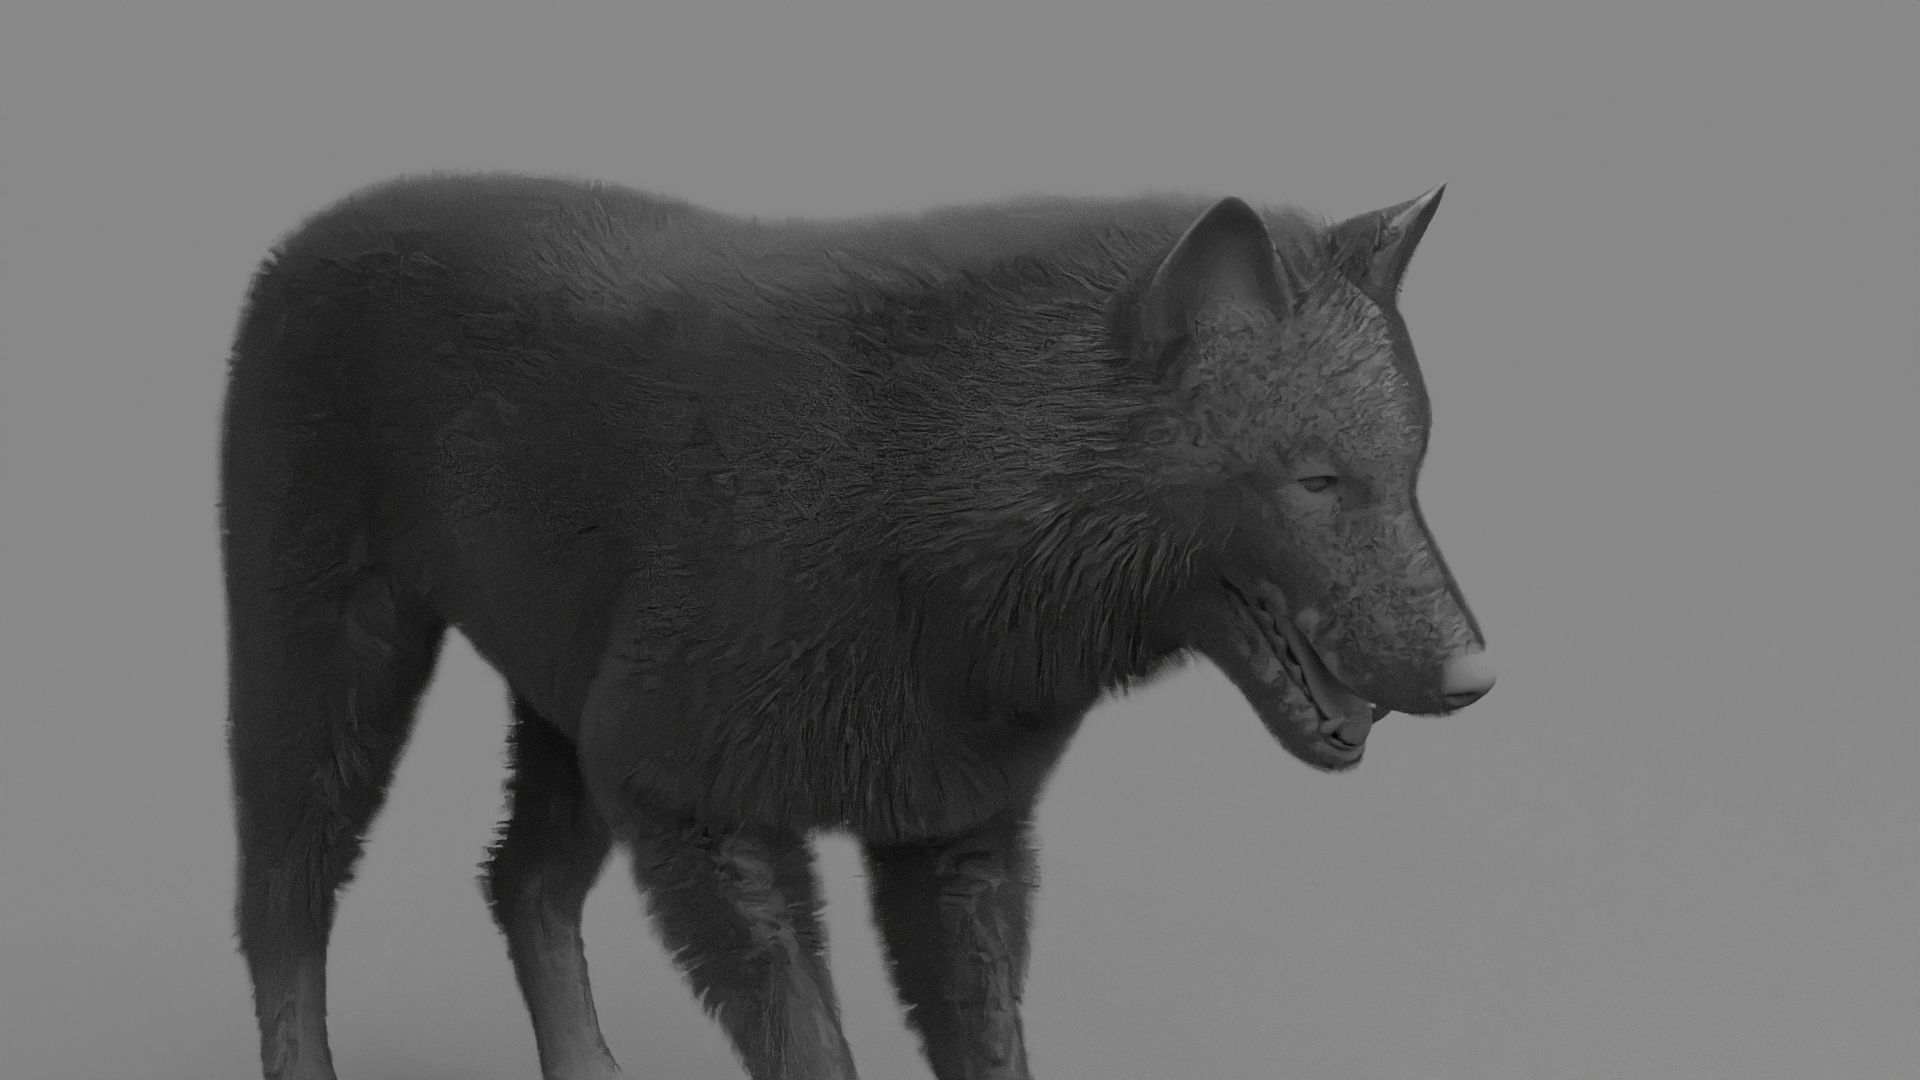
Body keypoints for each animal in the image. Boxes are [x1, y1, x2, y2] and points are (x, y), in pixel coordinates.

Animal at [219, 173, 1494, 1080]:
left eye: (1411, 474)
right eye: (1318, 482)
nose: (1476, 676)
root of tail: (305, 236)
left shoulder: (953, 842)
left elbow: (988, 1047)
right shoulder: (694, 809)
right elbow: (814, 1049)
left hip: (563, 719)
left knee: (520, 881)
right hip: (334, 677)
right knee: (283, 896)